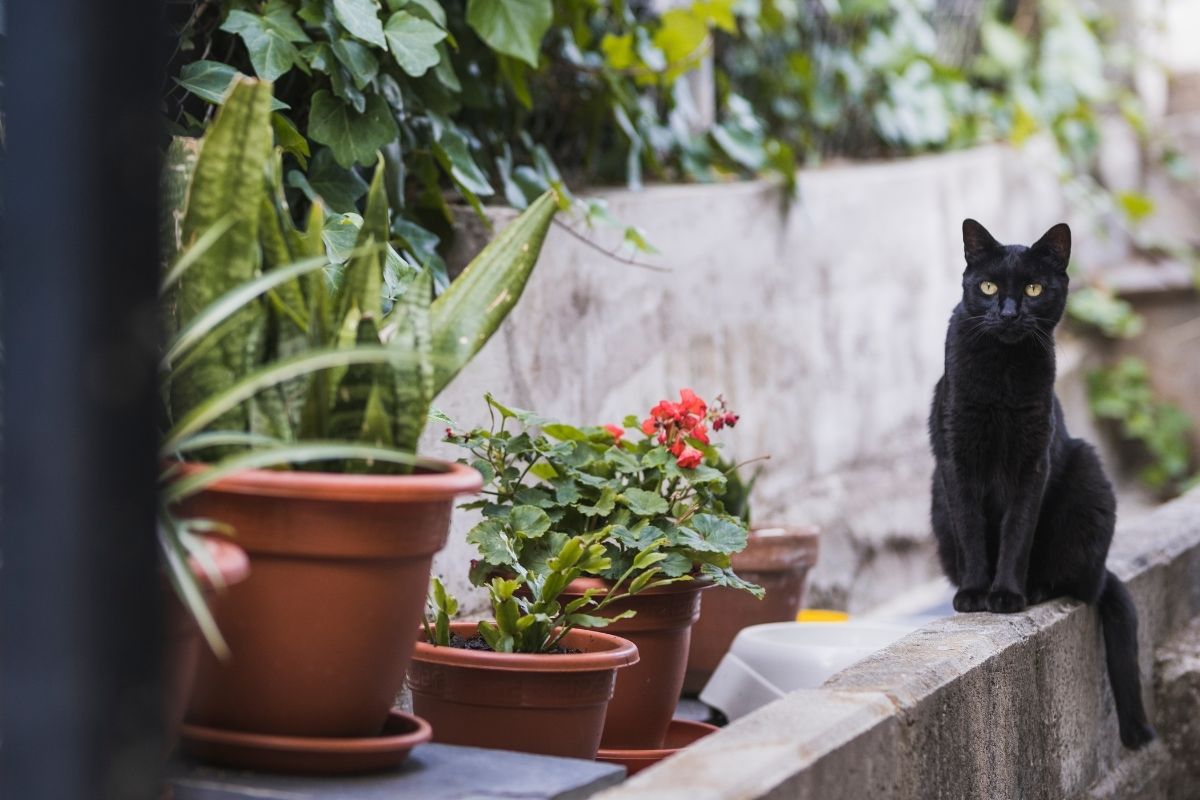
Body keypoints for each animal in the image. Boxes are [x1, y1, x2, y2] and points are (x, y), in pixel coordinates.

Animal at [926, 219, 1152, 753]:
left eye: (1033, 289)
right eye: (989, 287)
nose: (1009, 313)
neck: (1003, 374)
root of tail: (1104, 573)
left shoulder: (1032, 464)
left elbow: (1017, 534)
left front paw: (1006, 595)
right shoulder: (957, 462)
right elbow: (973, 533)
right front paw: (975, 594)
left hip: (1088, 473)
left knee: (1079, 582)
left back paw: (1037, 588)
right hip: (937, 500)